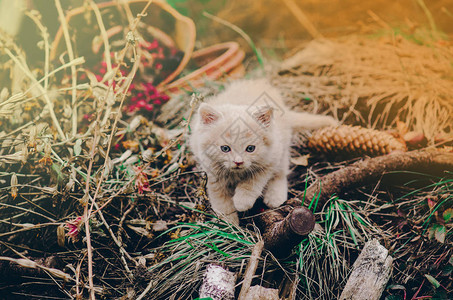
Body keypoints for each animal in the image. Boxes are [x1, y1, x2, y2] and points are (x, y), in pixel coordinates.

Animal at [188, 79, 336, 225]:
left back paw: (275, 196)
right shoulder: (212, 173)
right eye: (225, 148)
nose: (238, 162)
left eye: (250, 148)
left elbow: (253, 181)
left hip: (282, 146)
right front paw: (228, 224)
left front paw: (242, 201)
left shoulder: (269, 160)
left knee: (281, 172)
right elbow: (221, 202)